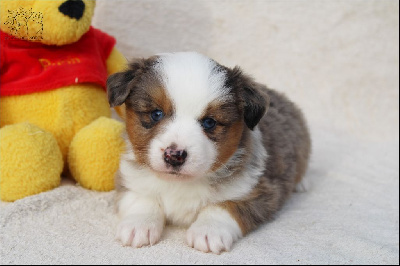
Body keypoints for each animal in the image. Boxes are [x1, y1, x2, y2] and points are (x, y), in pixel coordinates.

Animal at [108, 51, 310, 254]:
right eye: (156, 114)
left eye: (209, 122)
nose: (174, 156)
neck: (180, 183)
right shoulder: (128, 180)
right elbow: (141, 198)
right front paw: (138, 224)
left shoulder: (258, 192)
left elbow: (225, 206)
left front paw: (208, 230)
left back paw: (301, 183)